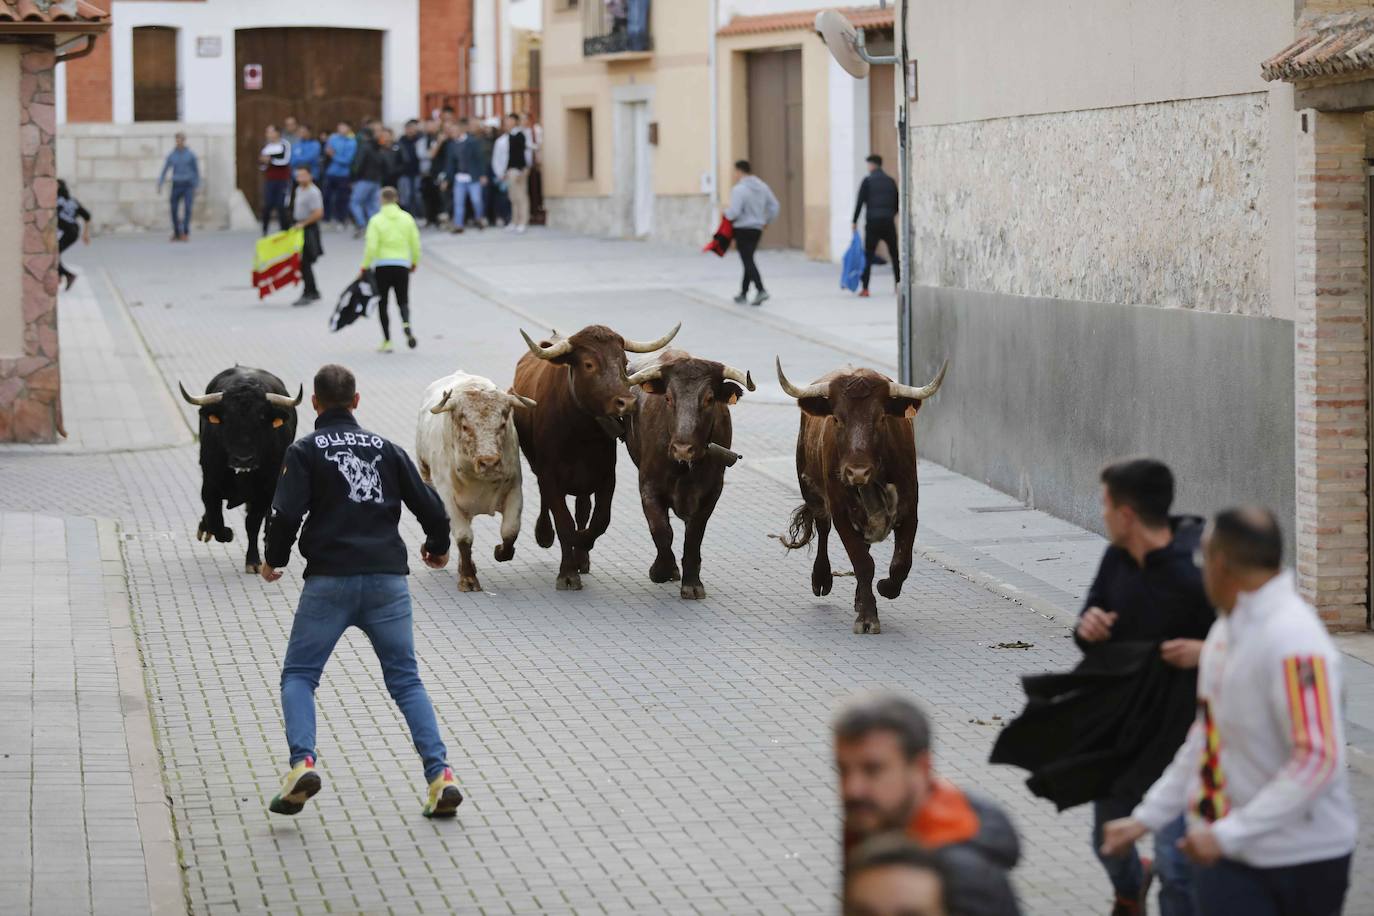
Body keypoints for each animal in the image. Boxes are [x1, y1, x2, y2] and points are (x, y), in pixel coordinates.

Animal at [179, 365, 300, 574]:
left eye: (261, 418)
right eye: (227, 419)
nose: (243, 459)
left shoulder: (265, 491)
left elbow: (252, 523)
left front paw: (253, 560)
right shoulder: (209, 485)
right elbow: (215, 518)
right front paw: (226, 533)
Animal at [511, 324, 681, 596]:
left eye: (623, 362)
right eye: (589, 364)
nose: (627, 403)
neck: (580, 433)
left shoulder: (606, 477)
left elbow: (599, 520)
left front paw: (582, 547)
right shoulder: (550, 477)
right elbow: (564, 523)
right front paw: (567, 574)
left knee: (583, 510)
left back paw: (582, 558)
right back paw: (545, 535)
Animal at [626, 351, 758, 601]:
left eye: (709, 399)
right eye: (668, 398)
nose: (682, 449)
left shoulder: (711, 494)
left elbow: (694, 536)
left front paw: (692, 584)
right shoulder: (648, 488)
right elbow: (662, 531)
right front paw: (662, 570)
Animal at [780, 362, 950, 634]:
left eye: (881, 418)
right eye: (837, 418)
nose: (857, 472)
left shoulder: (909, 509)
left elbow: (901, 562)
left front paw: (884, 589)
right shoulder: (841, 513)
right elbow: (862, 562)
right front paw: (868, 617)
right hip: (813, 494)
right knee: (824, 529)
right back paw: (822, 579)